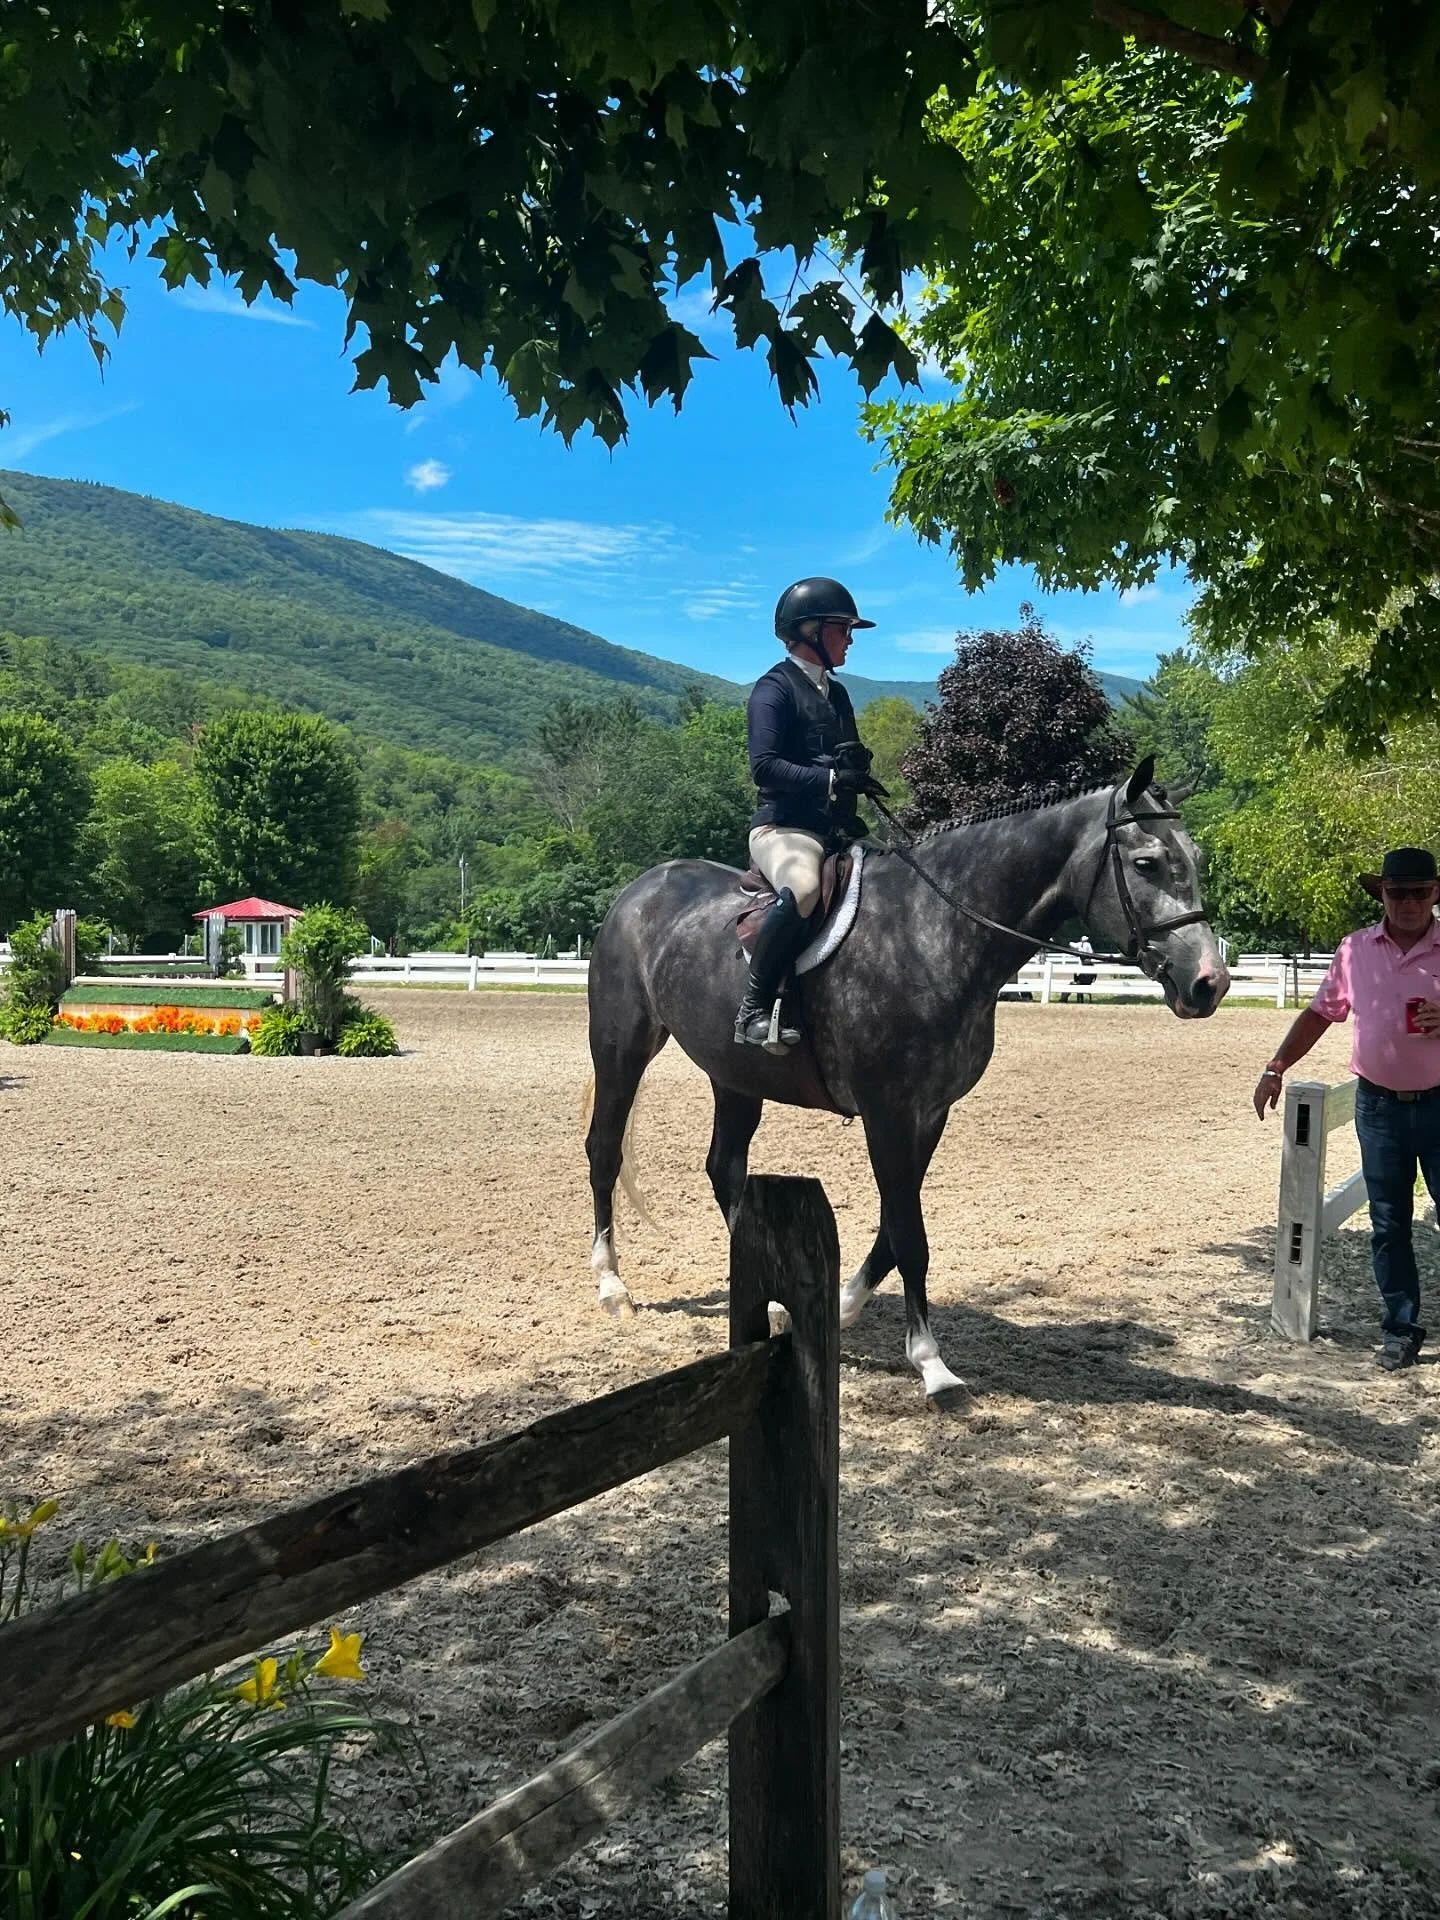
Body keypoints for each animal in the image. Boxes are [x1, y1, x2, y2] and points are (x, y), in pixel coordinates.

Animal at [583, 754, 1229, 1400]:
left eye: (1194, 858)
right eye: (1146, 863)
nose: (1209, 983)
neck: (933, 930)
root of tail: (639, 891)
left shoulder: (930, 1111)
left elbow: (896, 1226)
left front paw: (845, 1305)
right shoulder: (888, 1110)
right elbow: (909, 1234)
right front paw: (931, 1364)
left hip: (736, 1075)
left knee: (725, 1167)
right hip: (621, 1049)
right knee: (605, 1151)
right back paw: (613, 1288)